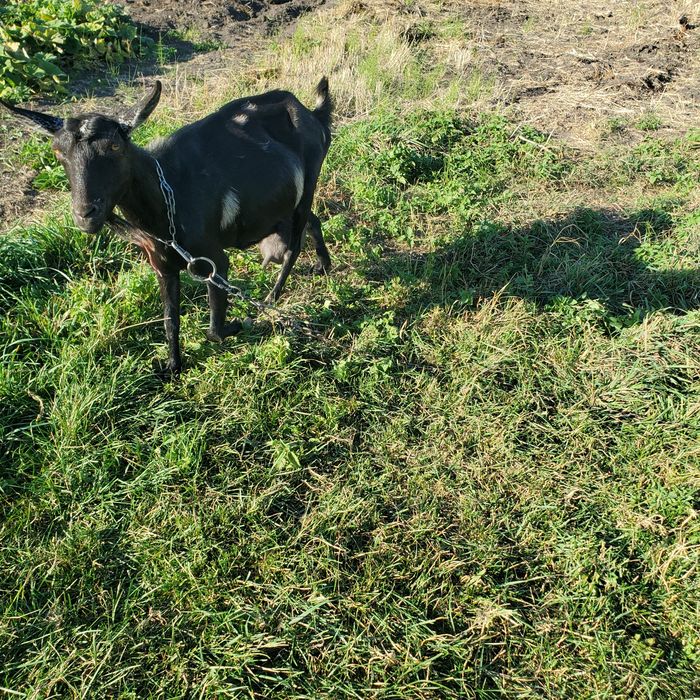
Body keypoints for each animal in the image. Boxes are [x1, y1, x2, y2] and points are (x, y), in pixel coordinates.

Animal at [1, 78, 333, 374]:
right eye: (58, 152)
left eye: (115, 146)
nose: (85, 214)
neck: (168, 196)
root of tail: (312, 114)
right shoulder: (161, 264)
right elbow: (170, 319)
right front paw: (173, 366)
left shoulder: (214, 261)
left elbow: (214, 329)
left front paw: (238, 324)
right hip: (290, 201)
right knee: (311, 221)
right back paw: (323, 265)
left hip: (310, 180)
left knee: (294, 246)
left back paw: (271, 298)